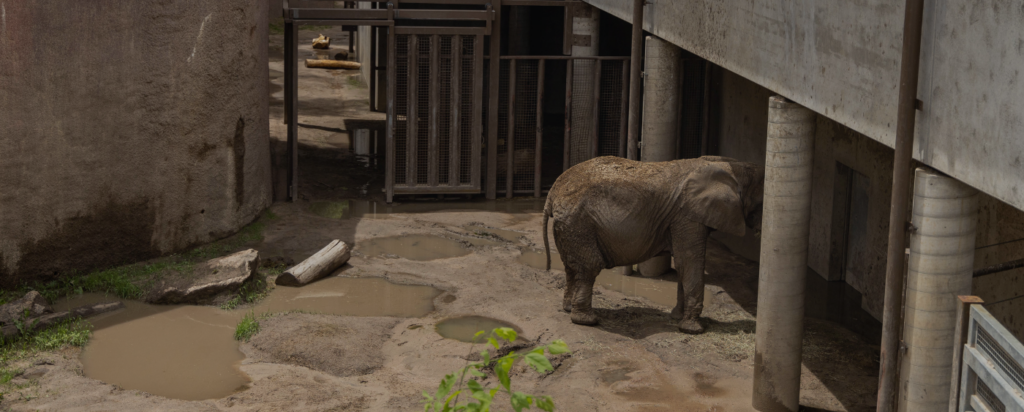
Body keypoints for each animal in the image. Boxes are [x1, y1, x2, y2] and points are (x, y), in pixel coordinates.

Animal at [540, 155, 765, 334]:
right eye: (762, 204)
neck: (734, 166)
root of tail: (553, 193)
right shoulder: (688, 217)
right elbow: (690, 263)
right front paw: (693, 330)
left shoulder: (682, 219)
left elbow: (682, 264)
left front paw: (676, 318)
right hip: (579, 223)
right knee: (590, 266)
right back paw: (587, 321)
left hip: (569, 226)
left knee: (572, 267)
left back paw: (569, 309)